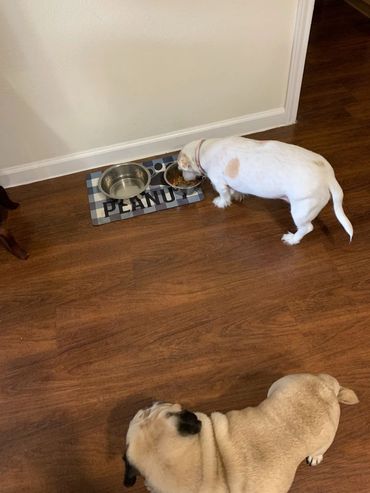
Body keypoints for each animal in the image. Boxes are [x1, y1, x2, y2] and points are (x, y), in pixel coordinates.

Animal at [178, 136, 354, 244]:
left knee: (306, 228)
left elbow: (223, 194)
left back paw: (292, 239)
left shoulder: (219, 182)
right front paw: (238, 195)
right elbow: (235, 190)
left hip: (300, 210)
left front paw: (221, 203)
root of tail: (328, 176)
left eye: (181, 169)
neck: (203, 149)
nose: (184, 178)